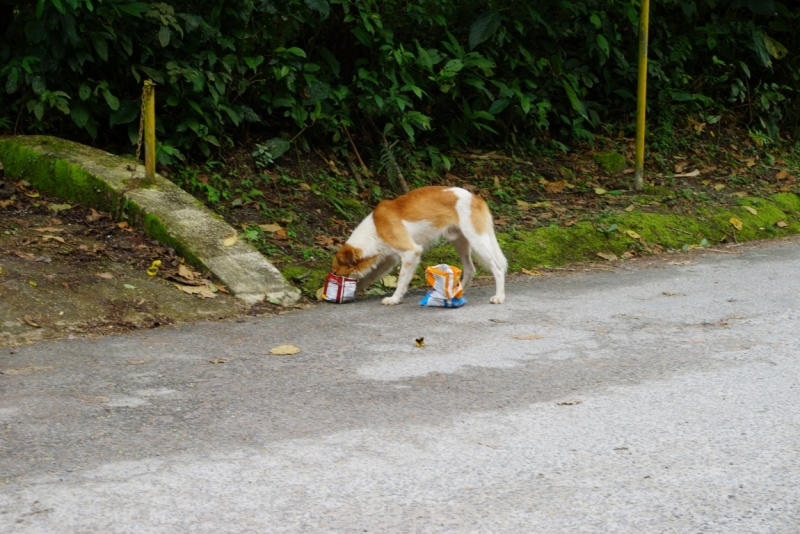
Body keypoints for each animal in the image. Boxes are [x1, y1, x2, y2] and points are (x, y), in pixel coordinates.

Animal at [332, 187, 506, 306]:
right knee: (470, 269)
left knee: (498, 269)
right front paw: (354, 291)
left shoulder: (411, 252)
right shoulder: (389, 260)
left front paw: (394, 299)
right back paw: (454, 293)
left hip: (477, 240)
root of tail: (476, 197)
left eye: (335, 272)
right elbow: (368, 277)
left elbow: (401, 280)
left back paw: (499, 296)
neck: (375, 230)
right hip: (460, 242)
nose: (332, 281)